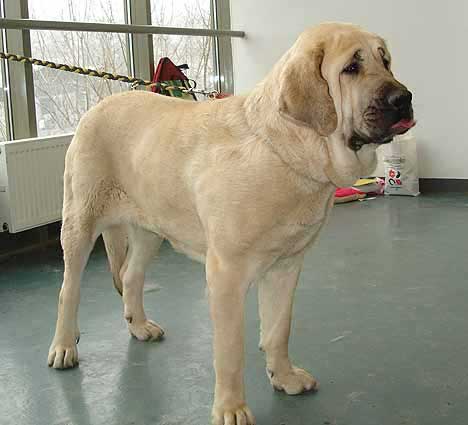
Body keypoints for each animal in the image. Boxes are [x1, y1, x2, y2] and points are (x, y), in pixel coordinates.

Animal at [47, 22, 414, 424]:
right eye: (351, 68)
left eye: (384, 60)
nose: (404, 98)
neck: (285, 148)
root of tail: (98, 106)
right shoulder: (226, 275)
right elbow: (230, 350)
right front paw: (231, 408)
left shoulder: (286, 267)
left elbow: (278, 328)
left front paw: (284, 377)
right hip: (80, 223)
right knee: (68, 290)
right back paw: (63, 347)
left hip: (151, 229)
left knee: (130, 275)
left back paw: (140, 326)